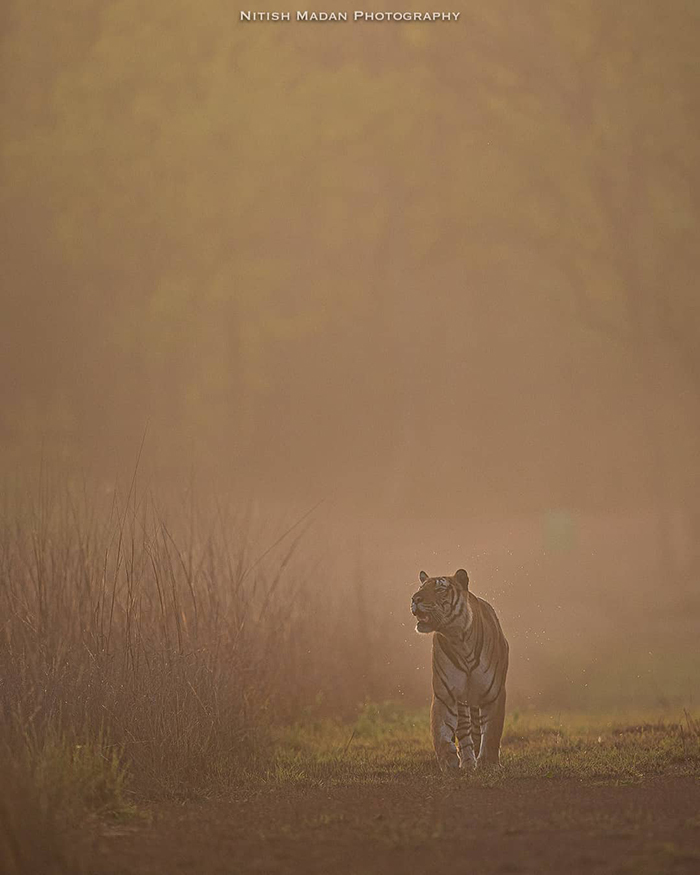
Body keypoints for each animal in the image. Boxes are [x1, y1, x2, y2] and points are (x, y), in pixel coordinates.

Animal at [410, 572, 508, 768]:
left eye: (440, 589)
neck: (458, 639)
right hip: (462, 701)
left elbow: (492, 731)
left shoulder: (494, 693)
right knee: (464, 731)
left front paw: (489, 762)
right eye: (421, 588)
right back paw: (468, 762)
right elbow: (440, 731)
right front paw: (449, 762)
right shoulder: (445, 694)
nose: (415, 599)